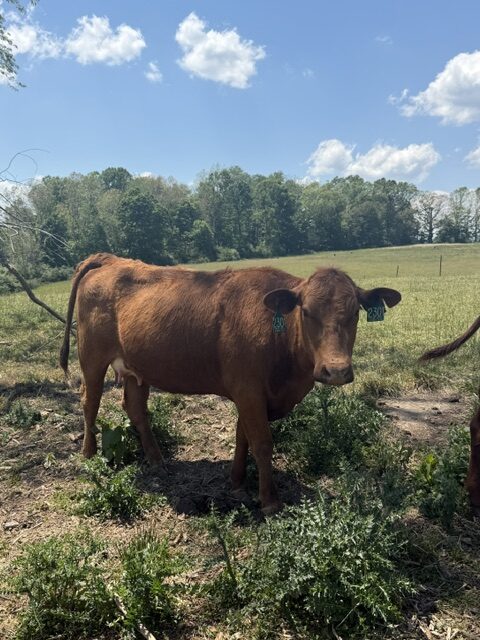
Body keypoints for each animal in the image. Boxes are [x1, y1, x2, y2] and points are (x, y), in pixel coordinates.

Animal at [60, 253, 401, 514]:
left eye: (355, 312)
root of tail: (113, 260)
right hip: (91, 358)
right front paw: (269, 501)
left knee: (135, 409)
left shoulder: (250, 393)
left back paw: (156, 460)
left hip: (135, 368)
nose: (337, 370)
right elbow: (261, 442)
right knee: (90, 402)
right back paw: (89, 455)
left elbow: (242, 436)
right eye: (306, 312)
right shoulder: (248, 390)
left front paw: (237, 481)